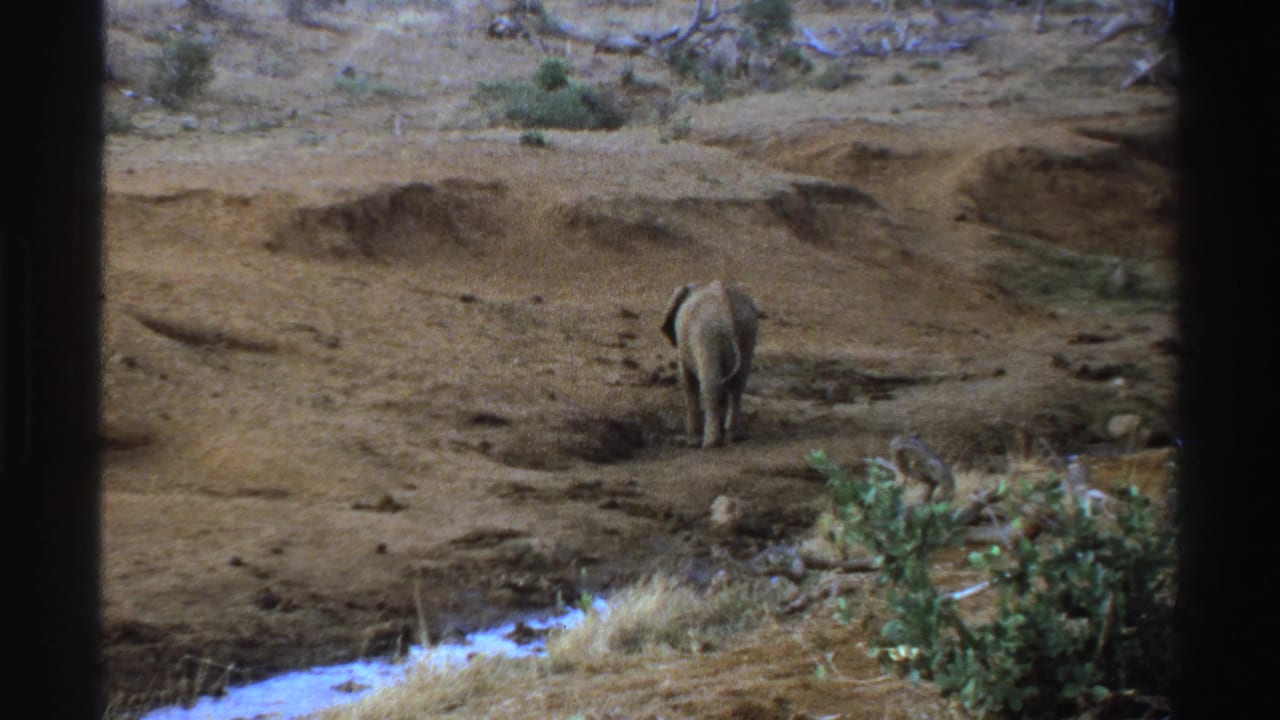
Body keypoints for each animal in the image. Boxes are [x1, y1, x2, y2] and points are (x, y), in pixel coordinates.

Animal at [661, 281, 760, 448]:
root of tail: (728, 313)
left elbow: (688, 382)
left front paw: (692, 442)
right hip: (747, 332)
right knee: (737, 385)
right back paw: (733, 437)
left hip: (707, 336)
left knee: (711, 385)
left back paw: (710, 443)